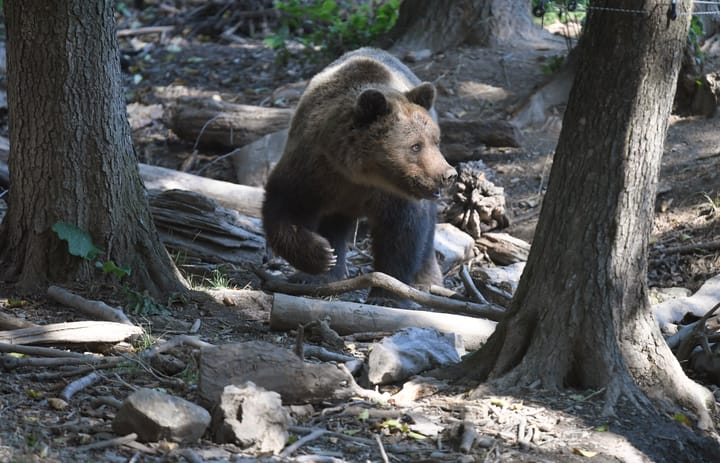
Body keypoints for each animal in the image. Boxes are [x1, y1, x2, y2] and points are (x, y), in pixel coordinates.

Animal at [262, 46, 456, 300]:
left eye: (436, 140)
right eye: (415, 146)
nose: (448, 174)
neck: (359, 173)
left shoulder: (394, 196)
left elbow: (402, 234)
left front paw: (388, 293)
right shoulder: (312, 170)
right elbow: (284, 207)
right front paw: (322, 256)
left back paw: (427, 280)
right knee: (334, 223)